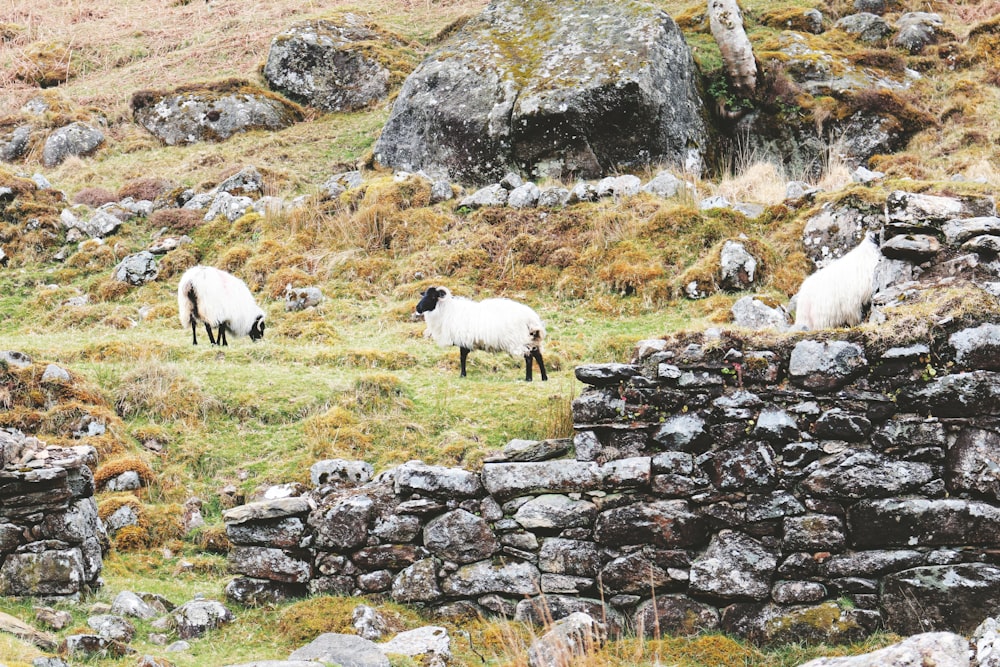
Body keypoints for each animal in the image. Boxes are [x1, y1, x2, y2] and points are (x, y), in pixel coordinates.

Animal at [418, 286, 552, 384]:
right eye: (424, 294)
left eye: (433, 296)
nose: (418, 308)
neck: (447, 311)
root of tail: (532, 319)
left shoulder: (463, 339)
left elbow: (462, 357)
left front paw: (462, 375)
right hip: (532, 339)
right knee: (538, 355)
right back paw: (544, 377)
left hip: (518, 340)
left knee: (528, 357)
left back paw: (528, 379)